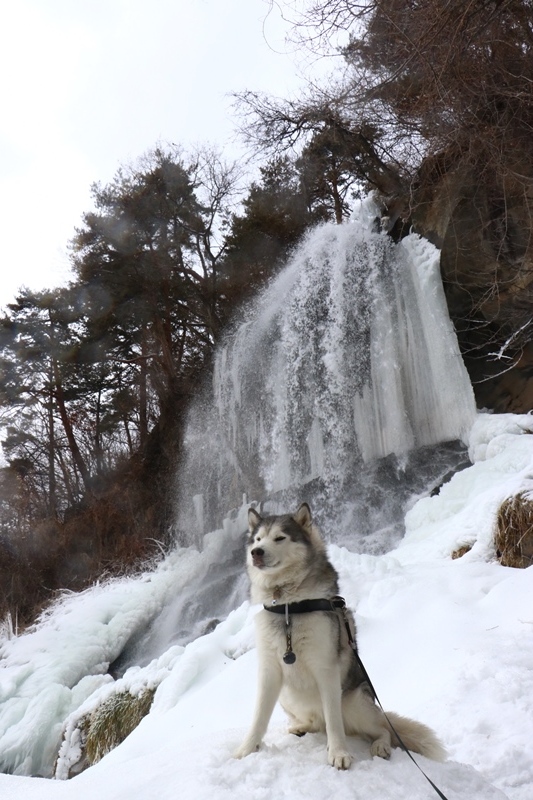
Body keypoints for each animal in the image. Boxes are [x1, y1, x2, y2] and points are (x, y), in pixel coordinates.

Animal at [235, 504, 446, 772]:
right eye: (258, 539)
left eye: (280, 538)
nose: (256, 553)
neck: (288, 607)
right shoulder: (269, 670)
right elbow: (259, 718)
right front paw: (246, 749)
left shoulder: (326, 669)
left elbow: (334, 723)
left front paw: (338, 753)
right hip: (287, 696)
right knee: (317, 723)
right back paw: (301, 727)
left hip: (354, 702)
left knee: (382, 729)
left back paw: (381, 746)